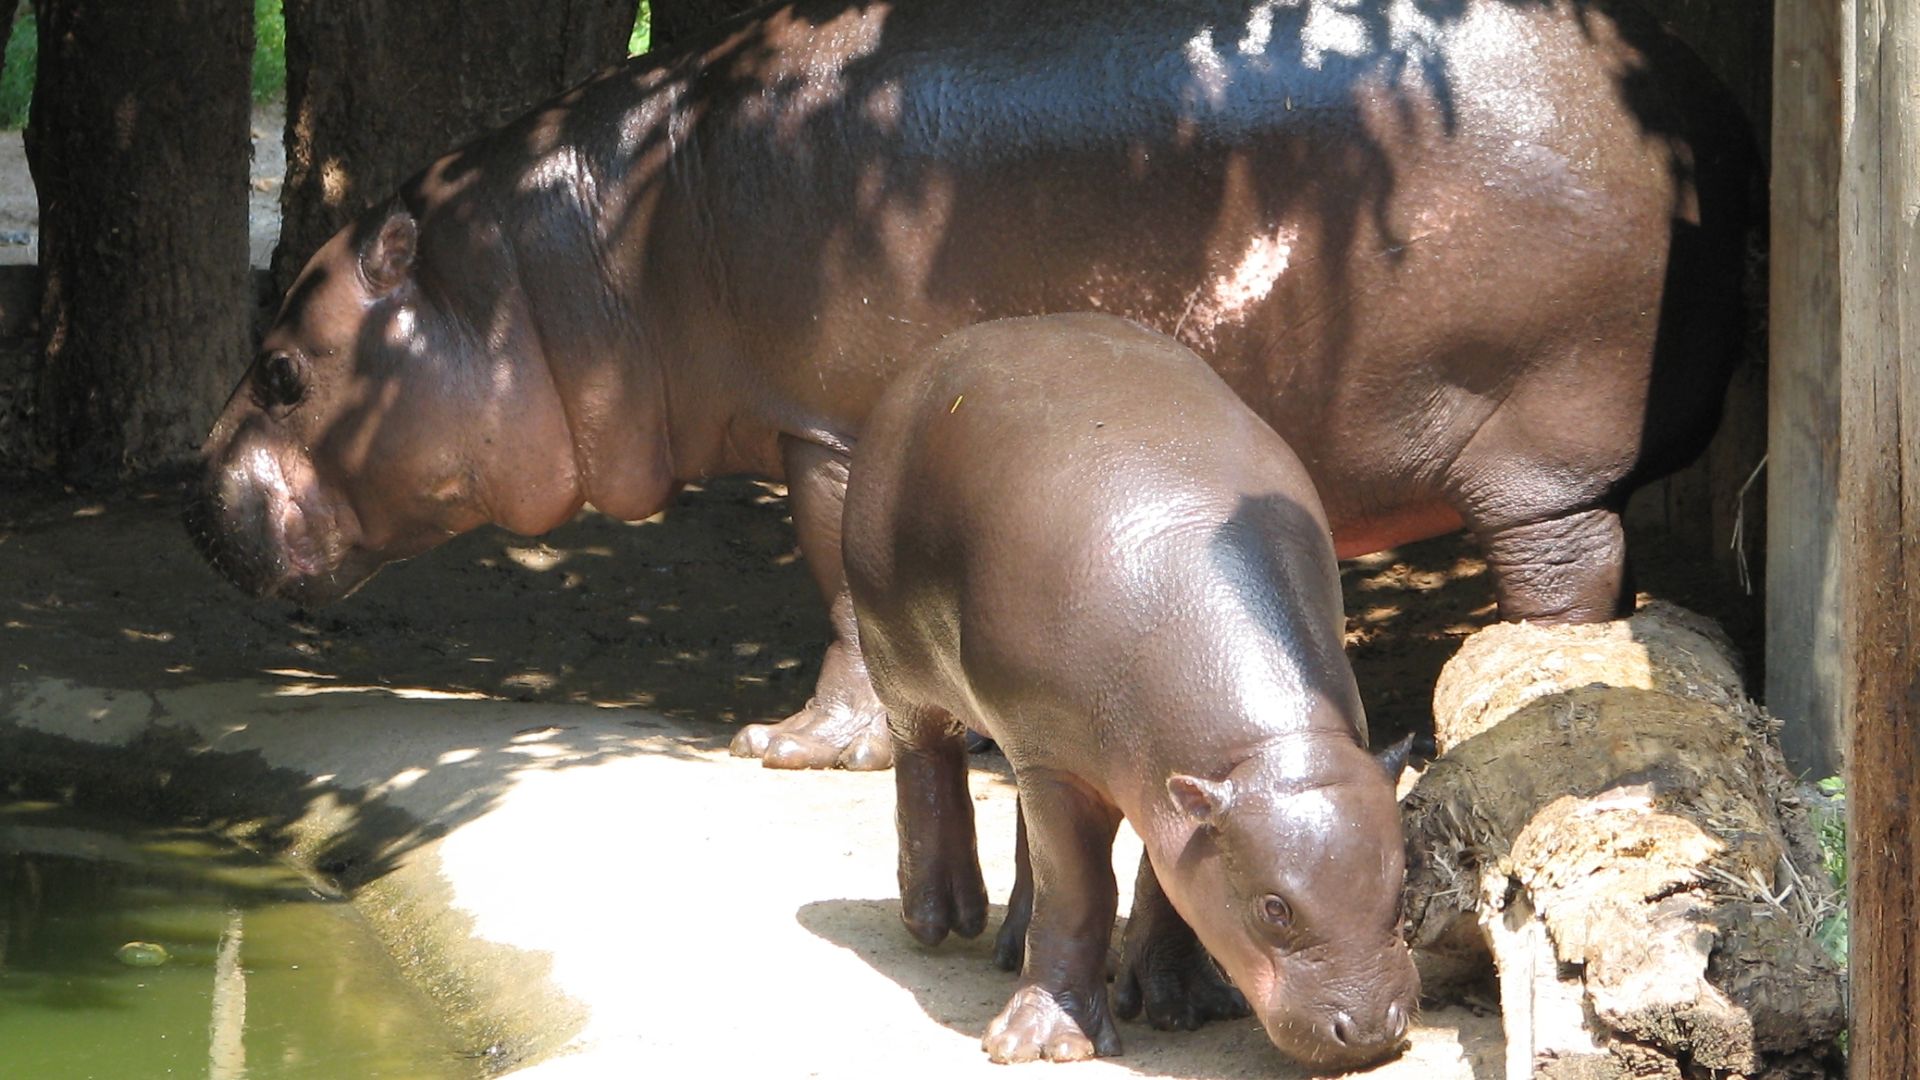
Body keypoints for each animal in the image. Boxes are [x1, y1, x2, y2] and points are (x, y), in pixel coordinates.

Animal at [186, 0, 1758, 773]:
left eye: (280, 367)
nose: (188, 503)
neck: (561, 254)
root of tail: (1701, 90)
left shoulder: (822, 423)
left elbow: (835, 592)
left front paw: (788, 748)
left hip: (1535, 447)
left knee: (1568, 578)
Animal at [842, 313, 1418, 1066]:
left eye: (1402, 894)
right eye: (1274, 908)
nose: (1372, 1028)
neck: (1266, 750)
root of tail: (934, 356)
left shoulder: (1173, 789)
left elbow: (1165, 883)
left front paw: (1188, 1004)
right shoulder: (1063, 765)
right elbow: (1079, 891)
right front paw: (1043, 1044)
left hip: (1038, 744)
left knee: (1023, 826)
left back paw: (1015, 947)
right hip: (900, 658)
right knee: (925, 756)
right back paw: (940, 917)